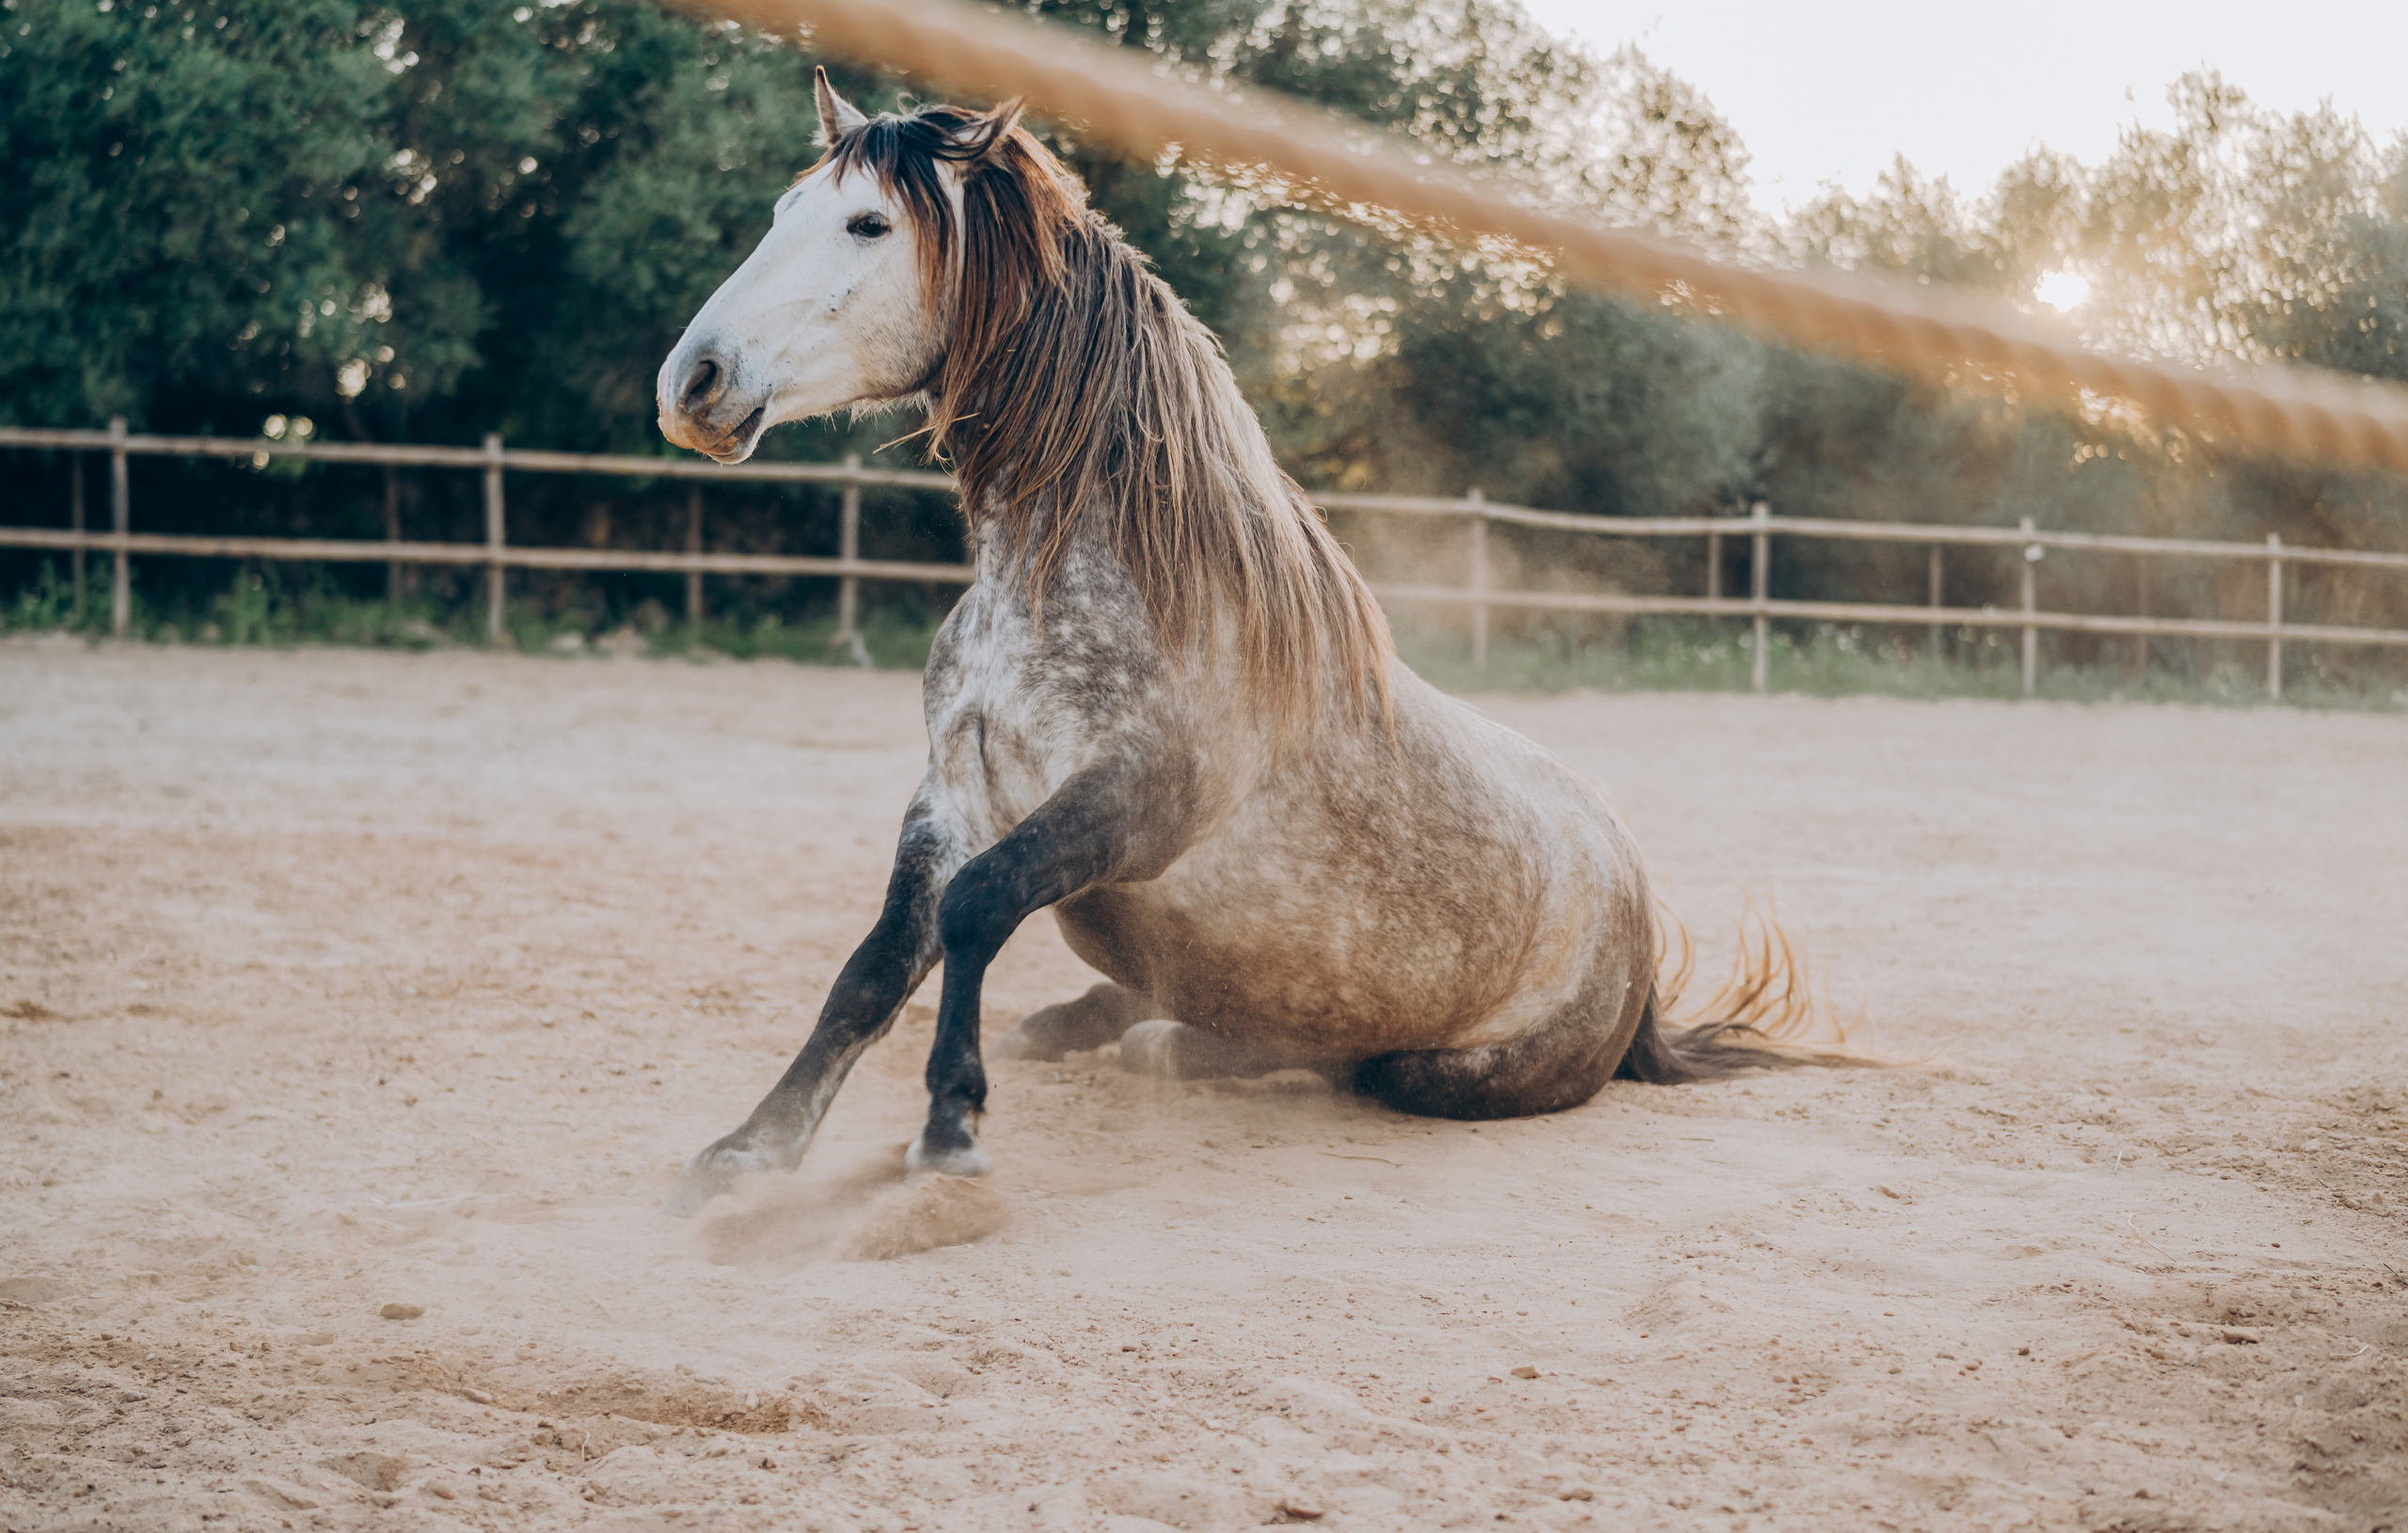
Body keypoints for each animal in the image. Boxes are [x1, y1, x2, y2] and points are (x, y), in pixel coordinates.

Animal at [652, 71, 1825, 1216]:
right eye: (783, 212)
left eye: (868, 224)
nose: (691, 382)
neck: (1069, 583)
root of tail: (1634, 928)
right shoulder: (949, 795)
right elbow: (875, 965)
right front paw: (749, 1150)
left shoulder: (1138, 800)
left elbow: (978, 904)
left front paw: (950, 1127)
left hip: (1432, 1068)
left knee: (1326, 1060)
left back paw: (1156, 1046)